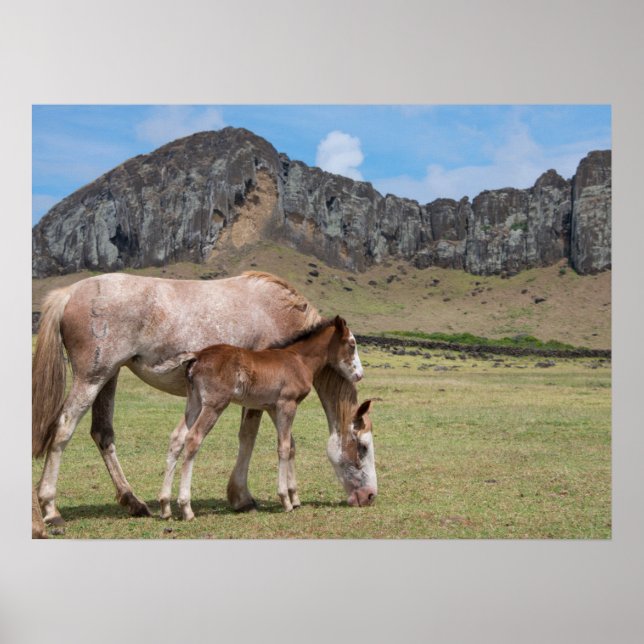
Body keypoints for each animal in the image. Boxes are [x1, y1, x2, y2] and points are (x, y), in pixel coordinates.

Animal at [152, 315, 374, 519]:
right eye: (352, 344)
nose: (360, 375)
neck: (299, 359)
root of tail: (197, 355)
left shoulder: (273, 408)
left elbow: (291, 445)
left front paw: (294, 497)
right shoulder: (287, 403)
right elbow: (283, 447)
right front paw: (285, 499)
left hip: (194, 403)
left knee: (177, 438)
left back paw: (165, 506)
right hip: (214, 405)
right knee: (193, 439)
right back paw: (186, 508)